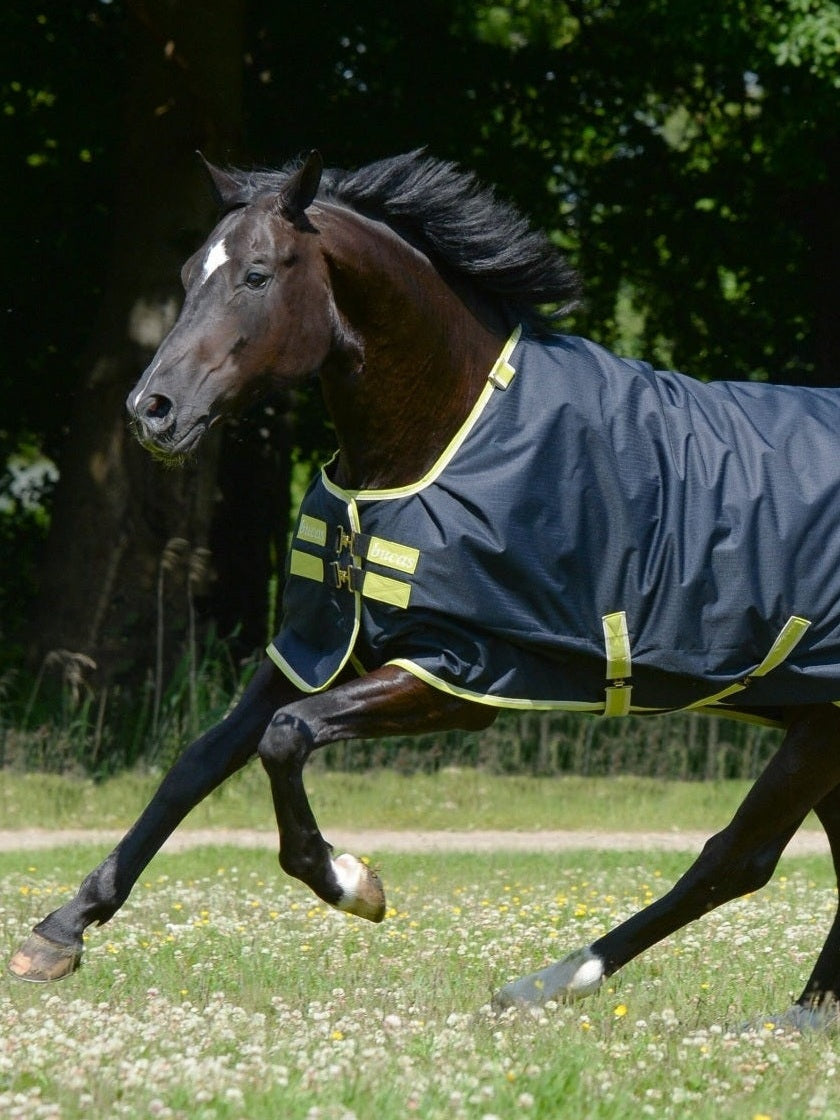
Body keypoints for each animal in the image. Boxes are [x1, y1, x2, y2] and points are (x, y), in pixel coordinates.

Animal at [11, 150, 840, 1029]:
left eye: (258, 274)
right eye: (188, 271)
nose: (153, 412)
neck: (445, 436)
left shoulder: (462, 676)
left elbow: (286, 738)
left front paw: (352, 883)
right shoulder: (320, 644)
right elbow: (200, 760)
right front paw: (60, 931)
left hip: (818, 723)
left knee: (739, 856)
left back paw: (547, 982)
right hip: (813, 717)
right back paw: (809, 1010)